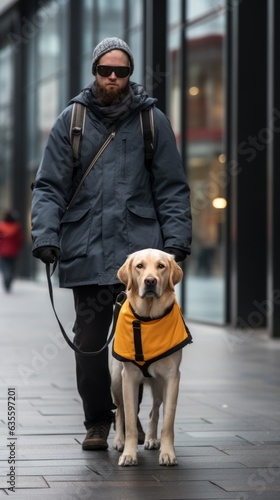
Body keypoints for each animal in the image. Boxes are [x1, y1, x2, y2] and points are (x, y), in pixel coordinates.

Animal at [110, 248, 191, 466]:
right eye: (140, 266)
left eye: (161, 266)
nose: (150, 281)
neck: (147, 319)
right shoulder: (128, 377)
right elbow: (130, 421)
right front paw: (129, 454)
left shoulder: (172, 377)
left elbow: (168, 421)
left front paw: (168, 453)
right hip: (116, 380)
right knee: (119, 410)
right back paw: (119, 441)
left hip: (158, 386)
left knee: (153, 411)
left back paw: (152, 439)